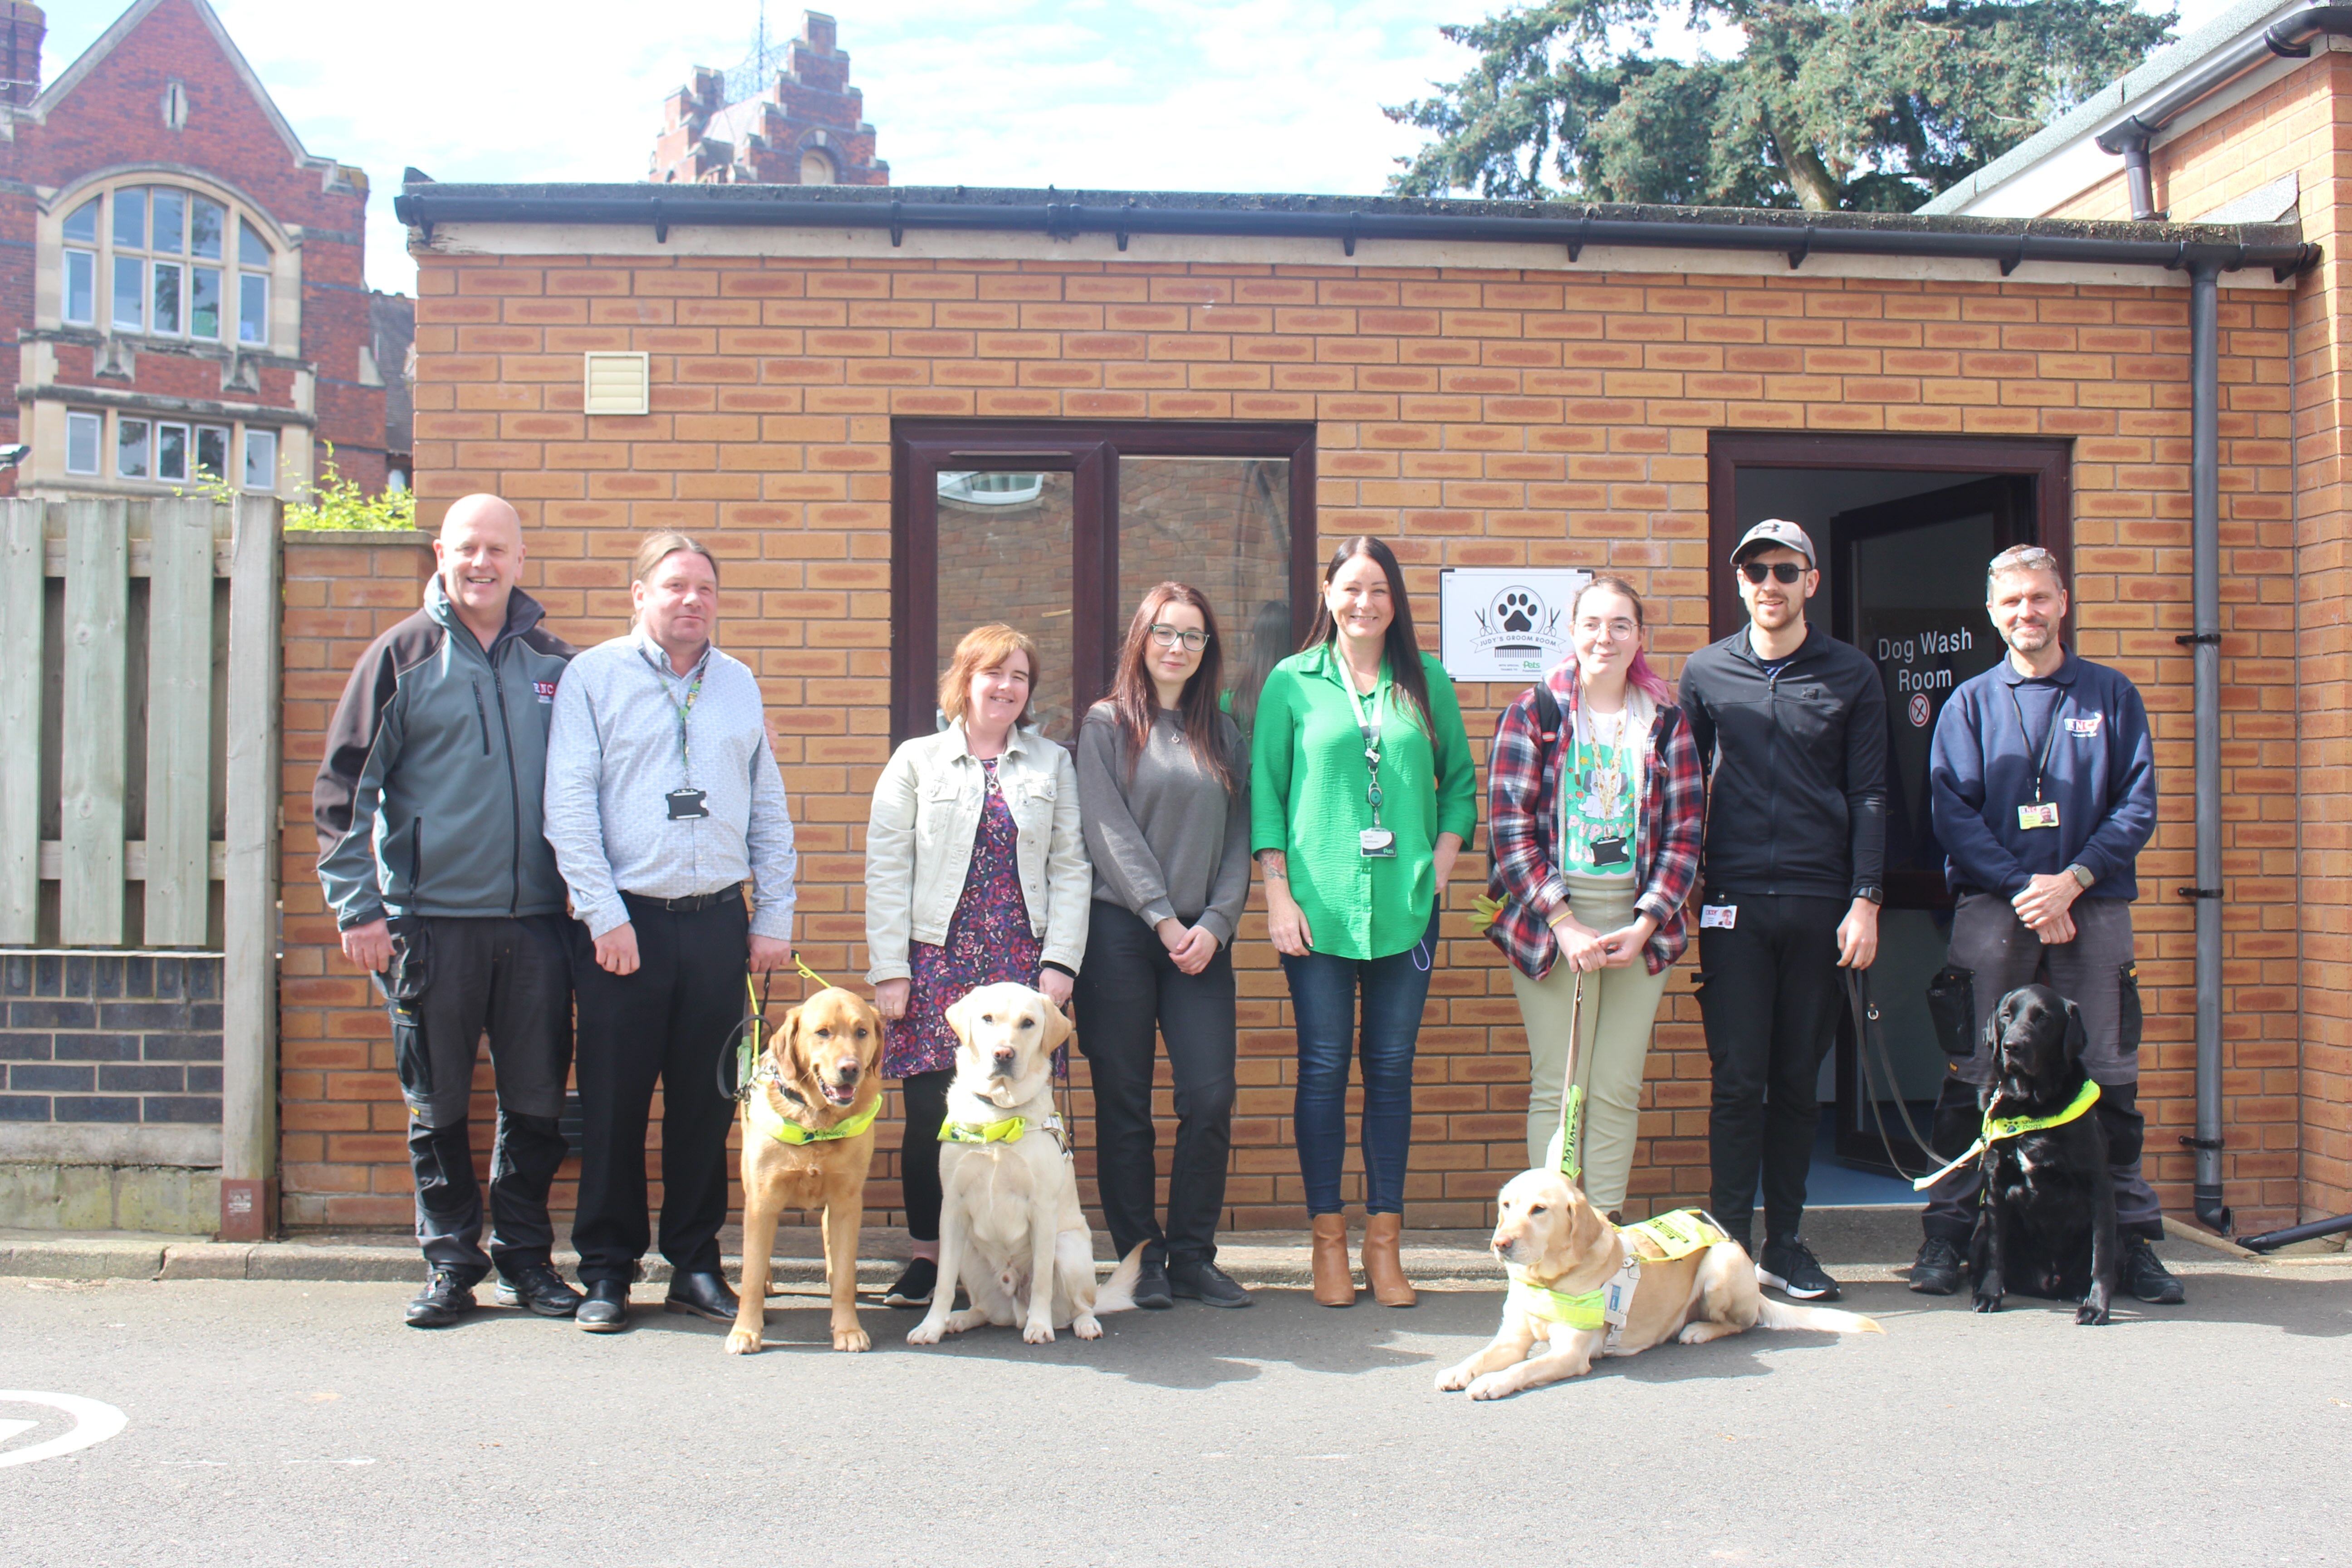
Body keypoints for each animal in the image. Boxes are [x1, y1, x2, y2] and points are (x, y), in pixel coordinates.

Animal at [724, 987, 884, 1354]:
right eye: (822, 1032)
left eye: (862, 1032)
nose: (851, 1069)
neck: (818, 1123)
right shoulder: (762, 1201)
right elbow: (751, 1274)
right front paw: (745, 1332)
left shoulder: (846, 1202)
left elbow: (845, 1272)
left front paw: (848, 1329)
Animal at [903, 987, 1143, 1344]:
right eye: (987, 1018)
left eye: (1028, 1023)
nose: (1003, 1053)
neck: (999, 1117)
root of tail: (1014, 1307)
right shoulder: (954, 1207)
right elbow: (944, 1281)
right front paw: (931, 1326)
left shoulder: (1042, 1208)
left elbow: (1043, 1279)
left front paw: (1039, 1326)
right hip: (969, 1253)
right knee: (985, 1310)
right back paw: (959, 1319)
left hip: (1069, 1249)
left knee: (1082, 1305)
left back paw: (1081, 1324)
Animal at [1421, 1171, 1882, 1401]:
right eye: (1506, 1206)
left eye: (1540, 1210)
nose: (1500, 1244)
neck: (1551, 1278)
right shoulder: (1511, 1338)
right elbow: (1483, 1356)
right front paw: (1461, 1371)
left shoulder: (1570, 1354)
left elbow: (1523, 1368)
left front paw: (1492, 1384)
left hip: (1721, 1264)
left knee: (1742, 1324)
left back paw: (1698, 1330)